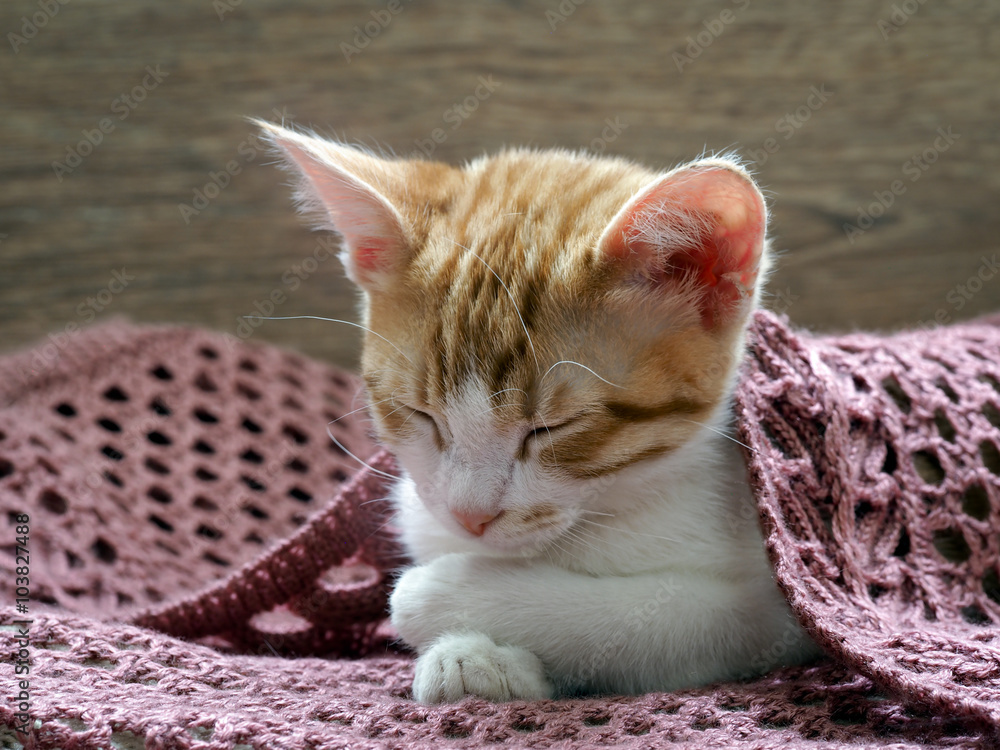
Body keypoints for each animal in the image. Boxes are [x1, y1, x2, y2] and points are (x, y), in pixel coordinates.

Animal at [258, 122, 820, 704]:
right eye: (420, 414)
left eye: (550, 428)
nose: (470, 517)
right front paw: (478, 659)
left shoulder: (773, 607)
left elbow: (651, 621)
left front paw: (444, 596)